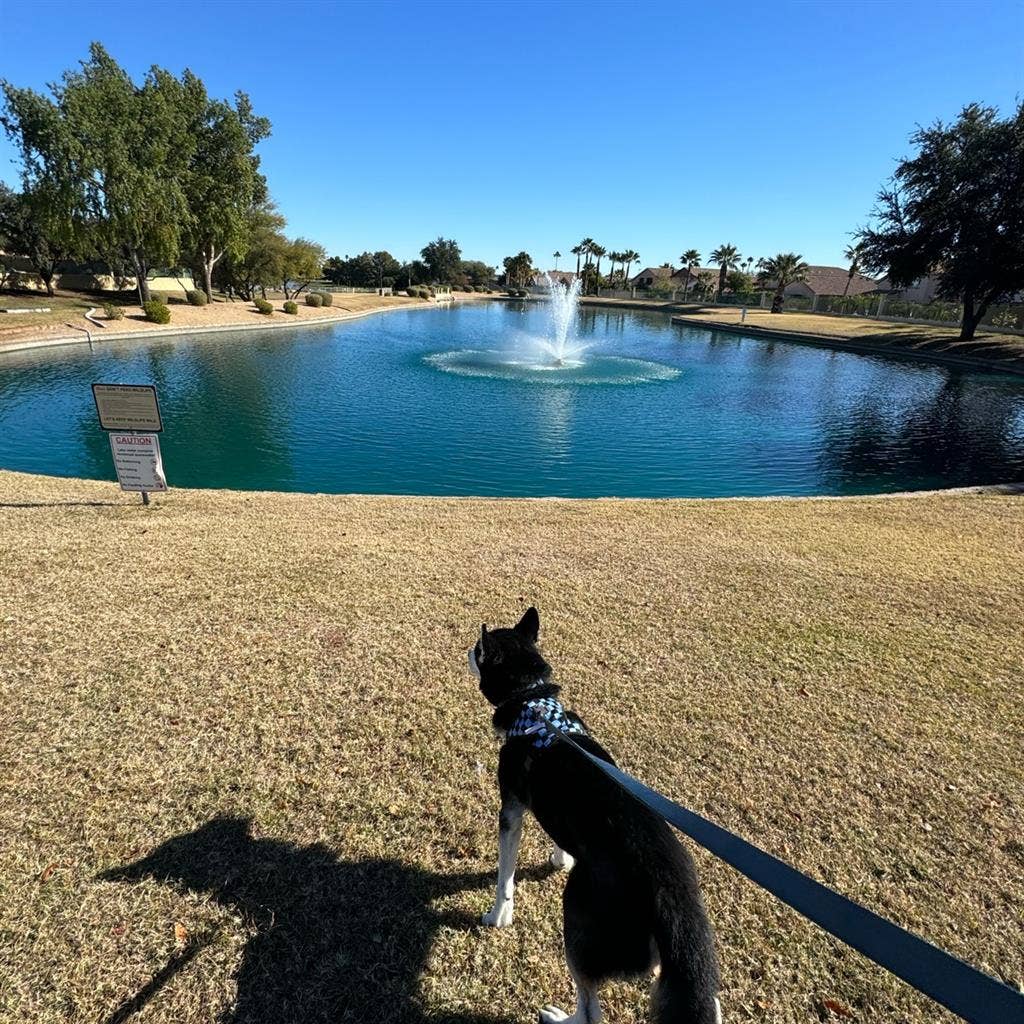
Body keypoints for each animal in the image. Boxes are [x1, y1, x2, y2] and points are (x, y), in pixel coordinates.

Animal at [468, 606, 720, 1024]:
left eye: (479, 649)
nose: (464, 651)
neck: (533, 706)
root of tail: (671, 897)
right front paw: (561, 857)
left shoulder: (511, 809)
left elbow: (505, 876)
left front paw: (498, 915)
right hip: (677, 973)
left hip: (577, 915)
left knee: (588, 1010)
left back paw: (557, 1017)